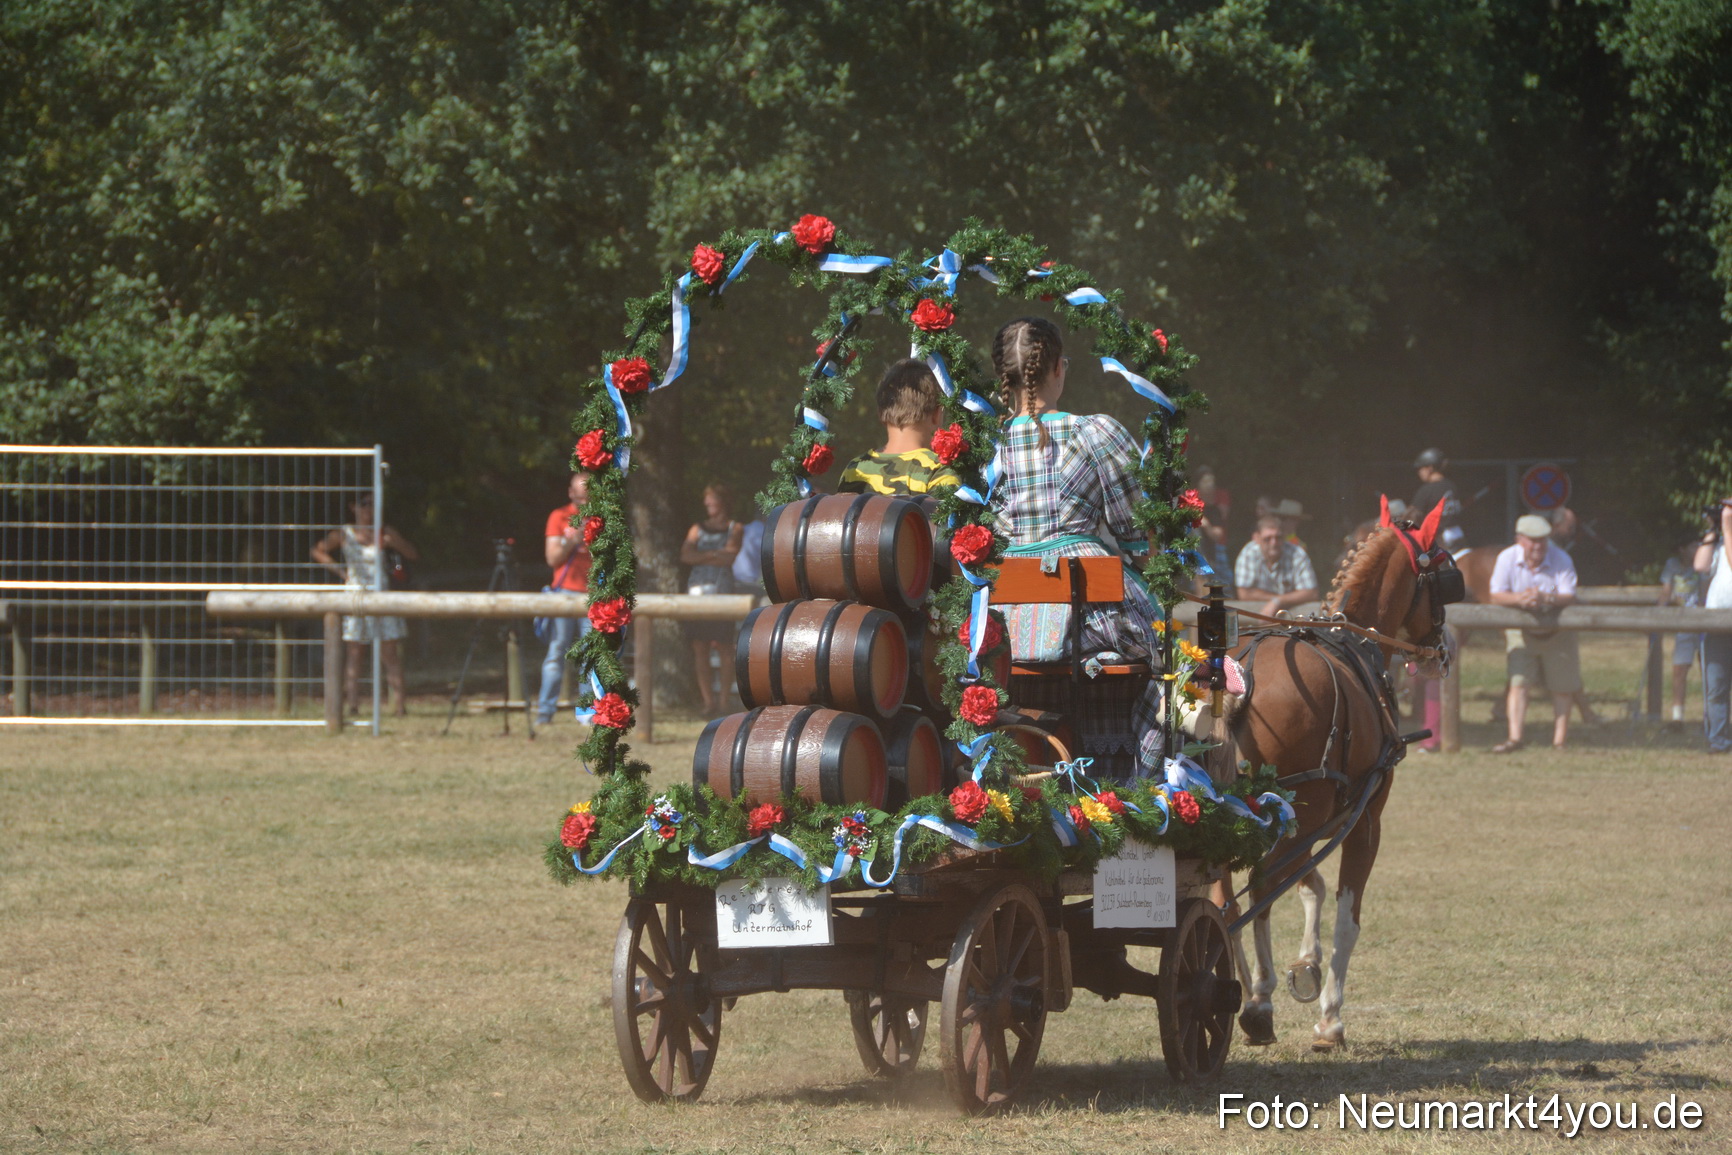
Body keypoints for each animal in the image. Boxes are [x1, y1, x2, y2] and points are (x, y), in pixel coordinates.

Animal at [1223, 498, 1461, 1051]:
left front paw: (1305, 965)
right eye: (1446, 576)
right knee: (1259, 886)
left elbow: (1309, 883)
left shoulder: (1319, 818)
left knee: (1221, 893)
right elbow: (1347, 915)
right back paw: (1258, 1002)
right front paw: (1329, 1015)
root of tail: (1240, 674)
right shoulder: (1363, 817)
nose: (1443, 651)